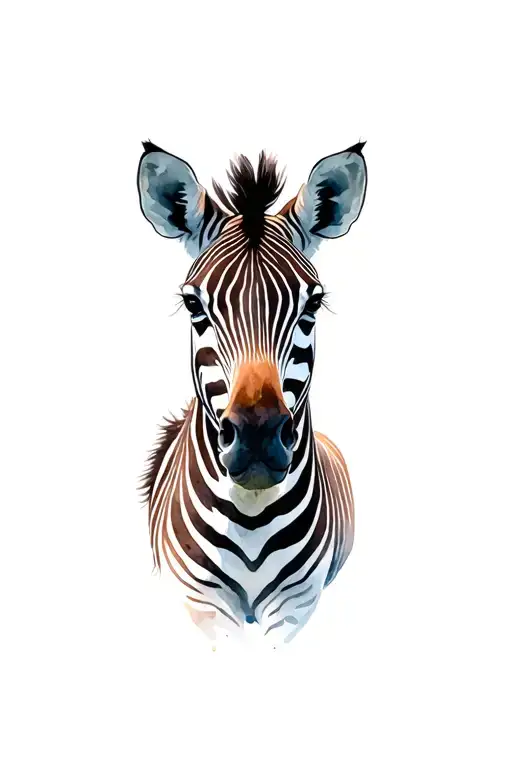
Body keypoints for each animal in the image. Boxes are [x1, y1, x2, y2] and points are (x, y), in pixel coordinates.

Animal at [137, 140, 367, 646]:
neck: (251, 519)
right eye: (193, 304)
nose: (258, 436)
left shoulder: (296, 604)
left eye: (313, 303)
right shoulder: (201, 603)